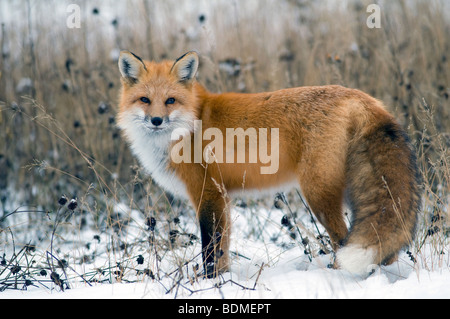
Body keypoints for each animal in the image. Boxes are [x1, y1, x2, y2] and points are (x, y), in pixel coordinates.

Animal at [118, 50, 420, 278]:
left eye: (170, 101)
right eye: (145, 100)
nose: (156, 120)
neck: (191, 124)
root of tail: (361, 97)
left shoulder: (208, 194)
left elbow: (210, 249)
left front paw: (209, 282)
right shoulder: (222, 197)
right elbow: (223, 249)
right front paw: (223, 280)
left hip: (318, 195)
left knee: (342, 239)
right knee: (384, 252)